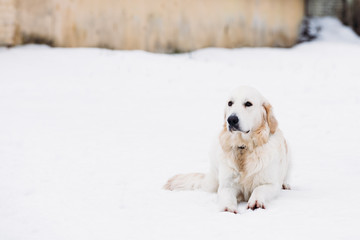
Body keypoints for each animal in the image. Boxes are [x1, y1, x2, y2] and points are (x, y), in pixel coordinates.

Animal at [163, 86, 290, 214]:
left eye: (248, 104)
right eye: (230, 103)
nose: (231, 119)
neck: (243, 147)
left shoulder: (271, 184)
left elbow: (259, 189)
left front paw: (256, 201)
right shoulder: (226, 185)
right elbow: (227, 195)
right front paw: (228, 208)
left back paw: (286, 184)